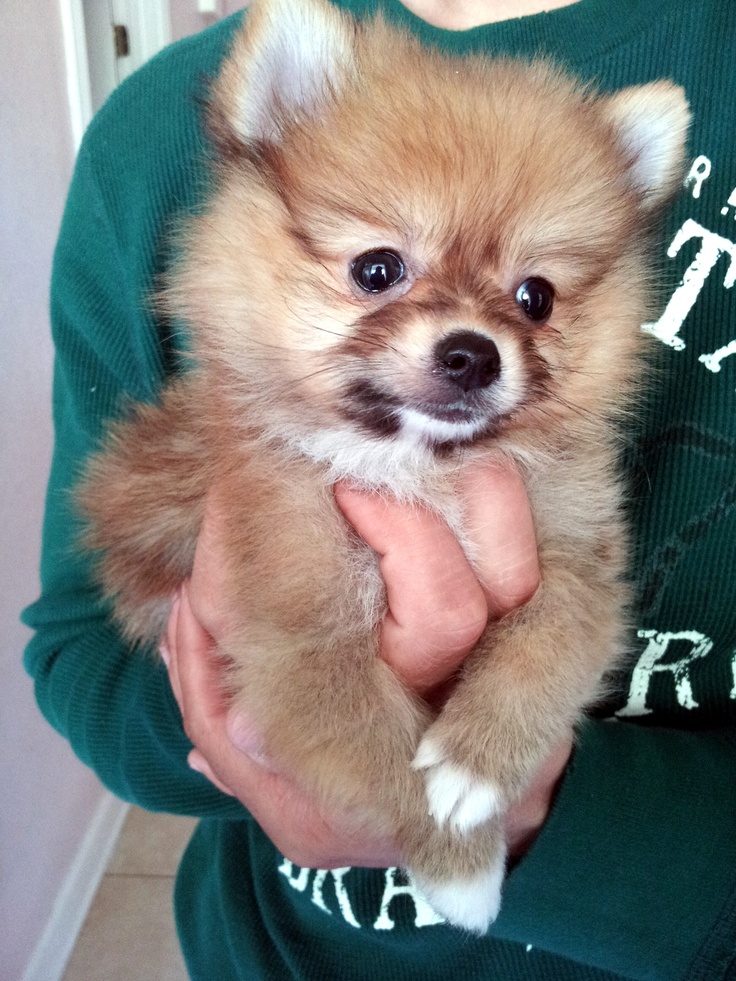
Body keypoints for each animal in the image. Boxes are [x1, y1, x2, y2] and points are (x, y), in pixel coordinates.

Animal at [79, 0, 688, 928]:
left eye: (535, 297)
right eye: (377, 268)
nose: (473, 353)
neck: (418, 467)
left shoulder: (580, 563)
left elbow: (545, 648)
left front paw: (475, 763)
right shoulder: (301, 645)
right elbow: (385, 756)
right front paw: (459, 864)